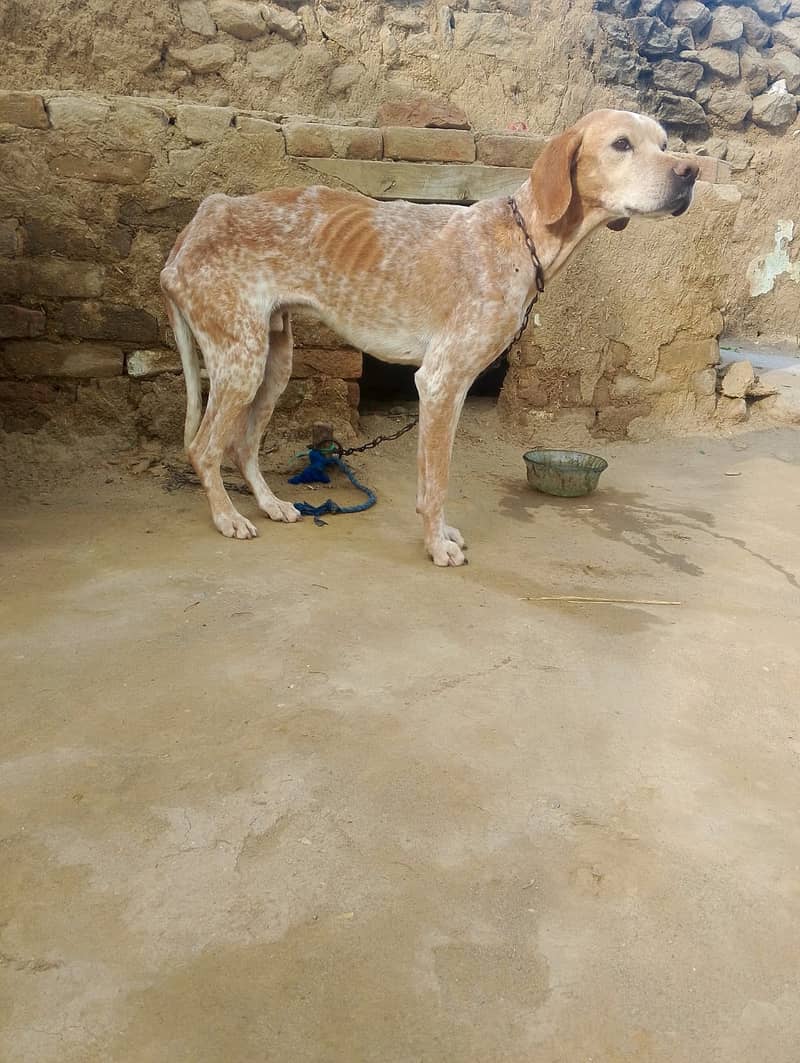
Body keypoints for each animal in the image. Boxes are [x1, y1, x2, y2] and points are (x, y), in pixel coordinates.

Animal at [159, 110, 696, 565]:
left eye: (665, 143)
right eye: (621, 144)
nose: (691, 172)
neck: (520, 238)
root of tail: (199, 222)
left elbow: (435, 478)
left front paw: (440, 535)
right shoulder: (441, 382)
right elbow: (436, 483)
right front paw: (437, 546)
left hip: (273, 361)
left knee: (243, 447)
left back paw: (270, 504)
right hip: (241, 361)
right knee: (204, 448)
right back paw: (227, 517)